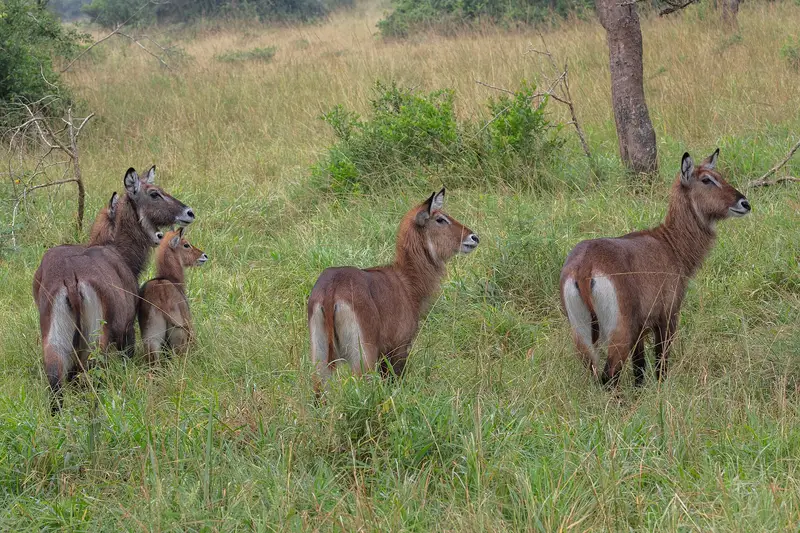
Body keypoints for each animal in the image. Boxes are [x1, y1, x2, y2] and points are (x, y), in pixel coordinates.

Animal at [33, 166, 195, 412]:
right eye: (154, 193)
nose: (189, 212)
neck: (117, 251)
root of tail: (70, 277)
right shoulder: (127, 330)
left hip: (55, 340)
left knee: (56, 384)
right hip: (96, 339)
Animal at [307, 188, 479, 394]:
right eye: (440, 219)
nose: (474, 237)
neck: (406, 280)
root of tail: (332, 286)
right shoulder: (398, 348)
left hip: (320, 359)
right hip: (362, 357)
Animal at [560, 149, 751, 387]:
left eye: (720, 176)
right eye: (707, 180)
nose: (745, 203)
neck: (669, 243)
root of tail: (585, 263)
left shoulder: (641, 329)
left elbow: (639, 368)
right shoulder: (667, 316)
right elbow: (661, 362)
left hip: (582, 335)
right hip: (620, 332)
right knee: (609, 375)